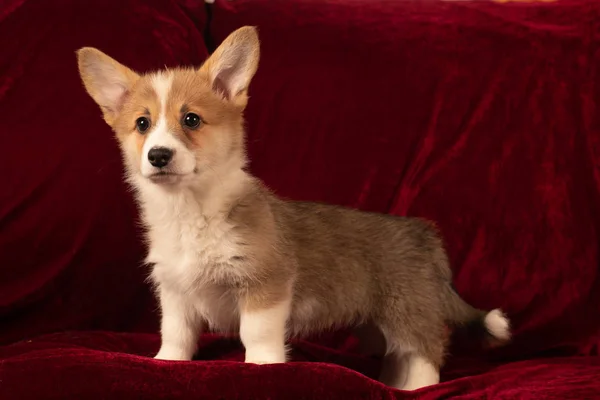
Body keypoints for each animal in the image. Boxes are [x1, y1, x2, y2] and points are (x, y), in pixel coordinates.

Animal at [74, 25, 506, 390]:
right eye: (142, 124)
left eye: (192, 119)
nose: (159, 156)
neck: (192, 209)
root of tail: (425, 235)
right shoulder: (176, 291)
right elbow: (176, 335)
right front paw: (165, 363)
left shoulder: (265, 284)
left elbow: (256, 335)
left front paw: (263, 368)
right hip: (376, 320)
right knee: (396, 355)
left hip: (408, 310)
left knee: (423, 353)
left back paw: (416, 389)